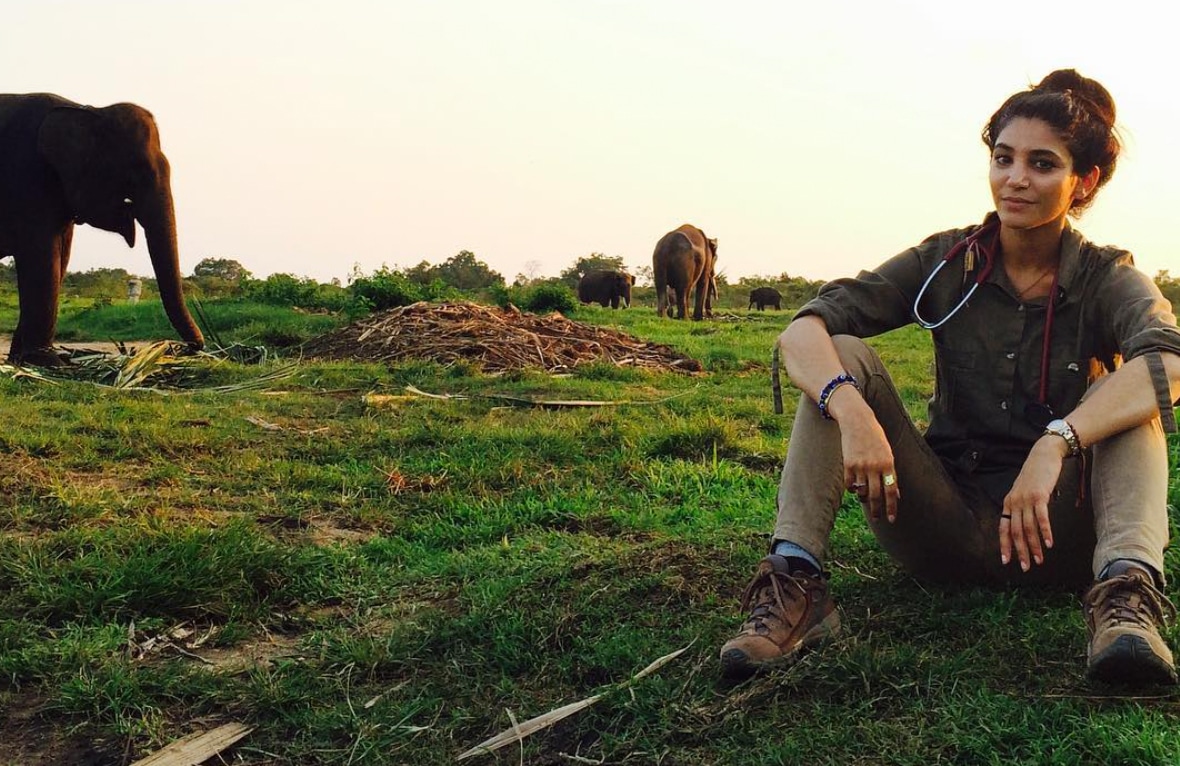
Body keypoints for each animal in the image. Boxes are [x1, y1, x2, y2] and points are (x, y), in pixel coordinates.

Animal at [0, 90, 204, 365]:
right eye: (133, 172)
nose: (189, 348)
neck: (89, 110)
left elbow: (60, 258)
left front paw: (21, 361)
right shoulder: (28, 177)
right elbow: (42, 257)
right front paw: (49, 361)